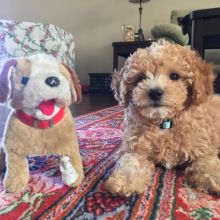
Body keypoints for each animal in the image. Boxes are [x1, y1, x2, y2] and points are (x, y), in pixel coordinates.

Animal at [105, 40, 220, 196]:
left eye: (174, 76)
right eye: (141, 78)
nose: (155, 92)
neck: (164, 122)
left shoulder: (203, 145)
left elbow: (207, 161)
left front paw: (213, 178)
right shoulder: (134, 147)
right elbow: (130, 161)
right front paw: (125, 181)